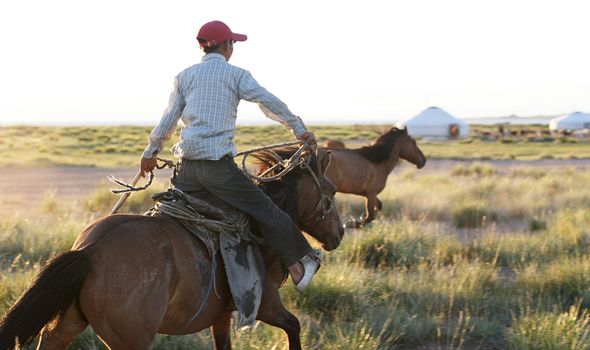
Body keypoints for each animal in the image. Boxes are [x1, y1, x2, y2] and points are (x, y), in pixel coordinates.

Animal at [0, 150, 342, 350]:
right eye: (333, 189)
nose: (338, 234)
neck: (260, 234)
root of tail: (89, 252)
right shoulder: (266, 305)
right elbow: (294, 326)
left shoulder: (221, 316)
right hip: (130, 342)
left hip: (70, 322)